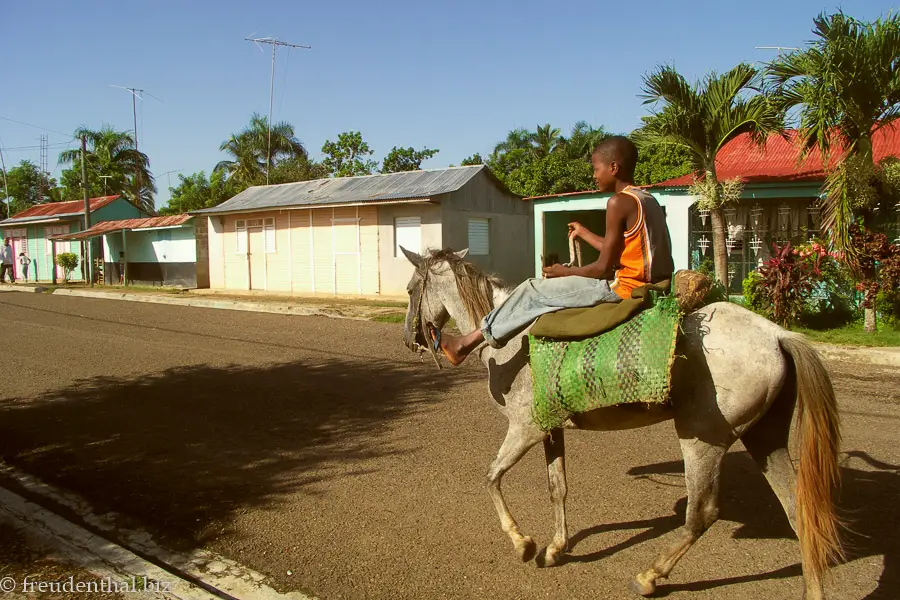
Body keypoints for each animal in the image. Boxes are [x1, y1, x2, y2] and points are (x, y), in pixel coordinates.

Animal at [400, 247, 844, 600]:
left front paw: (523, 543)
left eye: (408, 290)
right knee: (797, 511)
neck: (513, 343)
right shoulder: (550, 428)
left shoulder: (525, 429)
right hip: (764, 438)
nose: (409, 339)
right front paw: (555, 548)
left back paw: (649, 576)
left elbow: (491, 478)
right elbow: (557, 488)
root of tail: (778, 335)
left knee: (702, 514)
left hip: (704, 439)